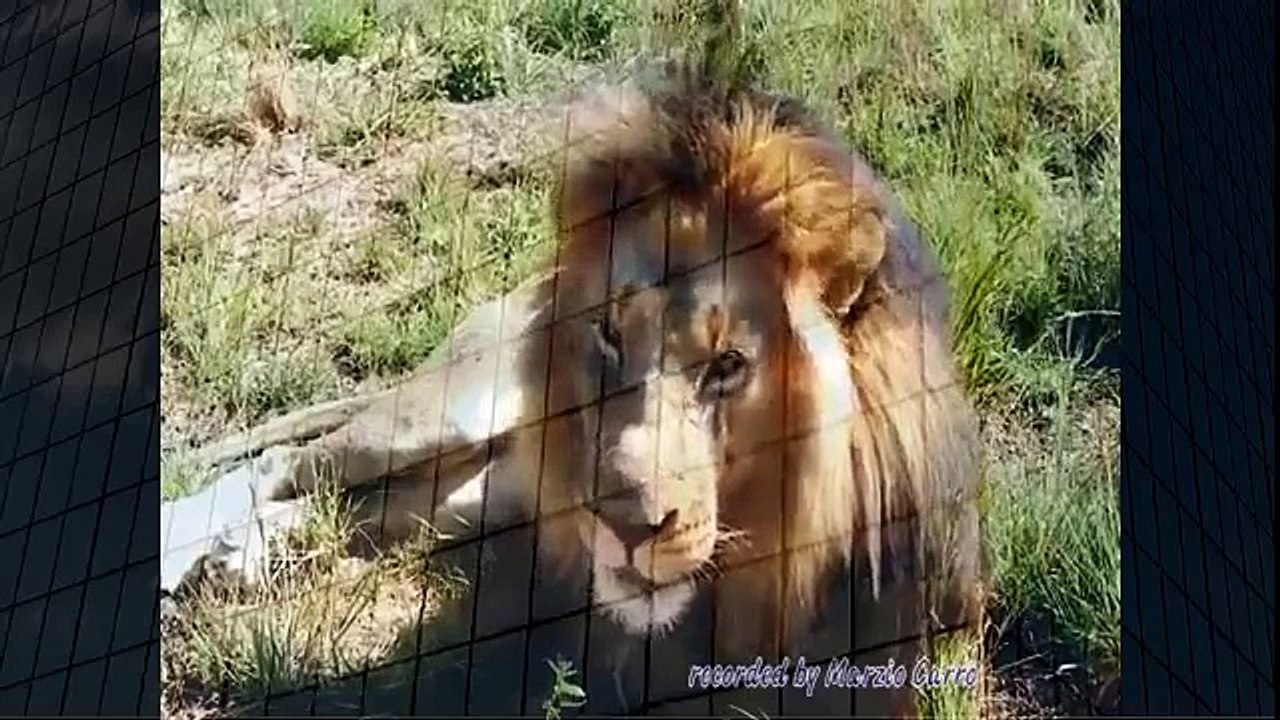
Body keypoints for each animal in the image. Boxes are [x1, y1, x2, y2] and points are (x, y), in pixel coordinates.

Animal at [161, 64, 984, 716]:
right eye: (610, 334)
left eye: (727, 365)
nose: (621, 525)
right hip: (451, 415)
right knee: (288, 464)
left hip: (483, 497)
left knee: (356, 507)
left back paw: (238, 556)